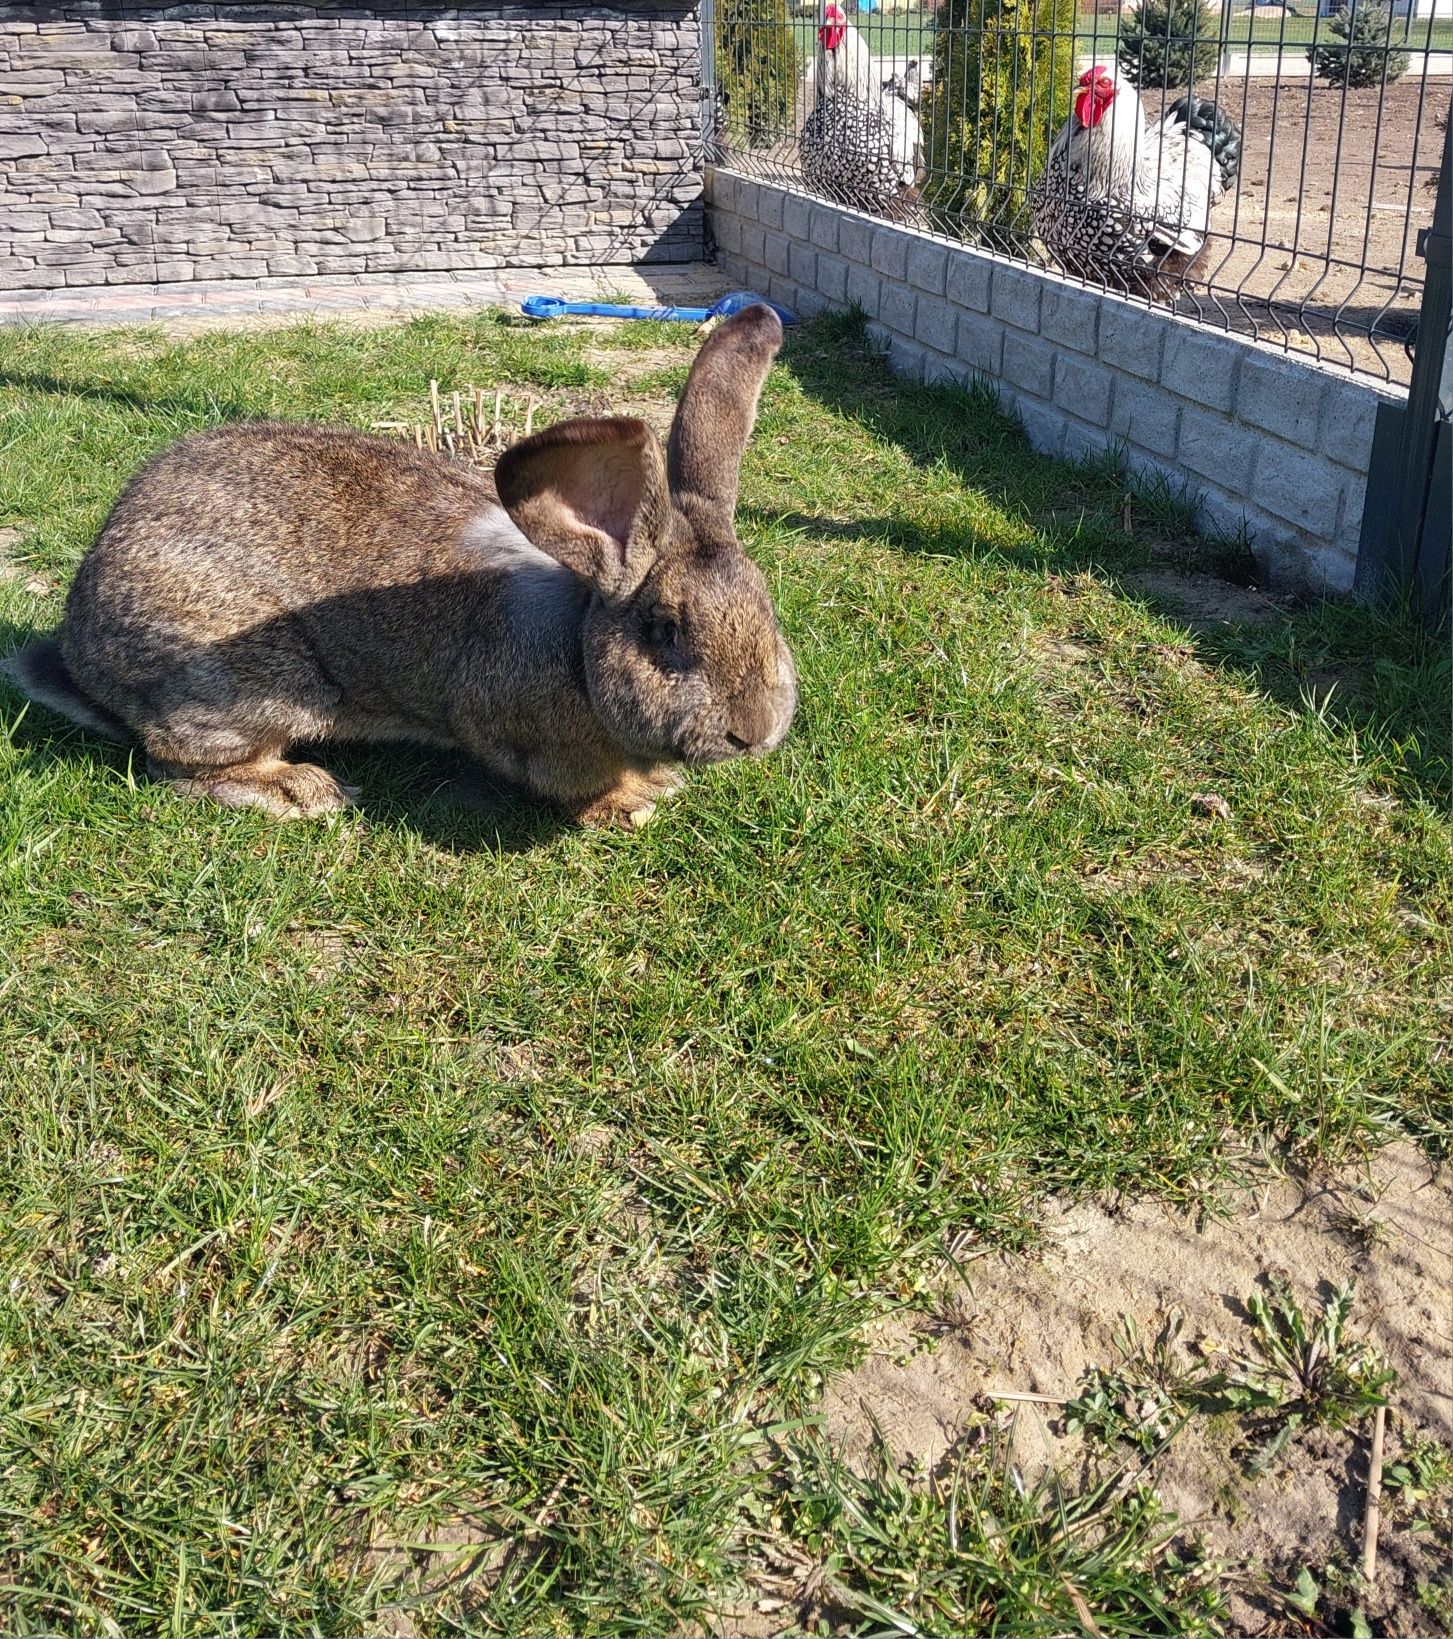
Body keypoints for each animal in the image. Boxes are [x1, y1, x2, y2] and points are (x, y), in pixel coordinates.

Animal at [2, 303, 796, 826]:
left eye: (766, 609)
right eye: (664, 631)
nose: (753, 732)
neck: (579, 642)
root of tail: (81, 645)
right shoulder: (524, 736)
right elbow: (567, 786)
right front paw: (633, 802)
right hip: (242, 686)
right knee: (178, 760)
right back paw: (305, 791)